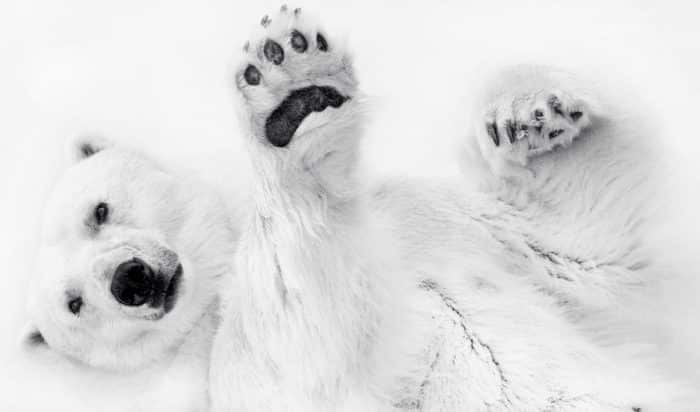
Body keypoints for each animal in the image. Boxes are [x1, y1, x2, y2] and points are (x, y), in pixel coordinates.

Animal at [210, 7, 691, 411]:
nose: (297, 99)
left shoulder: (449, 222)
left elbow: (579, 229)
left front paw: (528, 113)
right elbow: (302, 357)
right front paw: (290, 107)